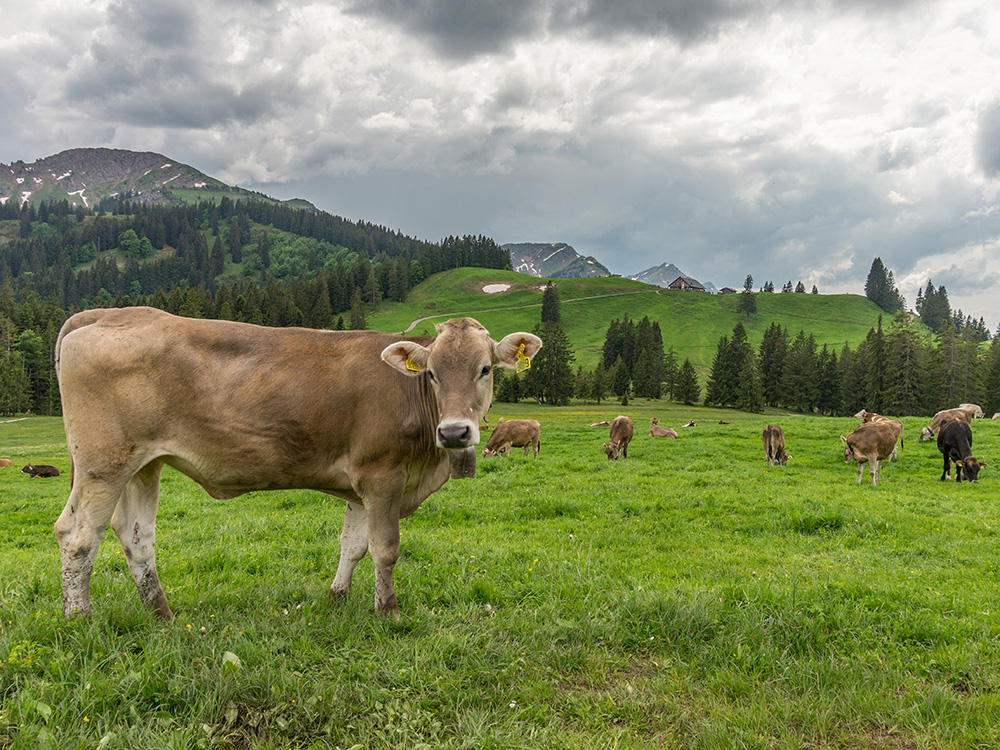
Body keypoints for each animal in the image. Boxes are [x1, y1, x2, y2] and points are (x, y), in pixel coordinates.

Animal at [54, 308, 540, 620]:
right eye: (433, 373)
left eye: (484, 369)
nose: (455, 432)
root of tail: (108, 312)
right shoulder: (382, 475)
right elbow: (385, 548)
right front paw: (388, 611)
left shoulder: (359, 487)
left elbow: (353, 545)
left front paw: (338, 597)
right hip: (103, 465)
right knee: (77, 535)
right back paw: (80, 618)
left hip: (142, 465)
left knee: (136, 536)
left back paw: (161, 613)